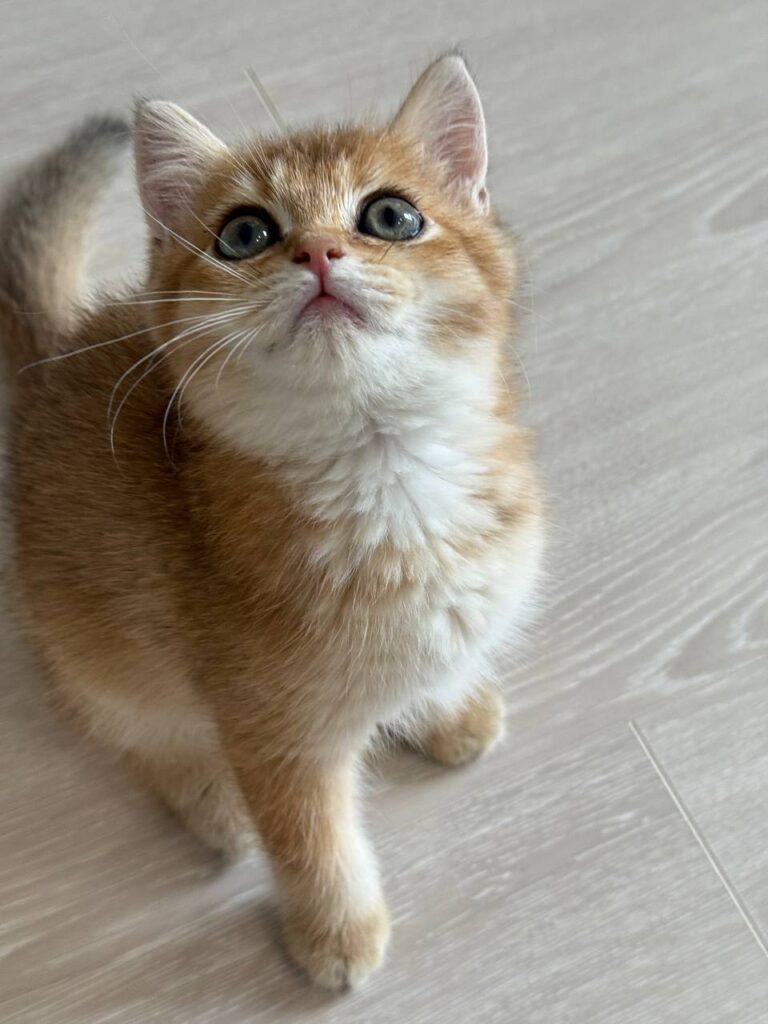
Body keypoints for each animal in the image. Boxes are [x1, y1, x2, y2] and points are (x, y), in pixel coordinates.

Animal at [0, 54, 543, 990]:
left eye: (391, 216)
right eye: (245, 233)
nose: (319, 251)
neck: (390, 484)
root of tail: (47, 364)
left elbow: (433, 656)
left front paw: (442, 706)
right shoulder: (275, 737)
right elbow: (312, 843)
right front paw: (335, 933)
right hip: (94, 646)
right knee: (127, 726)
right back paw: (210, 800)